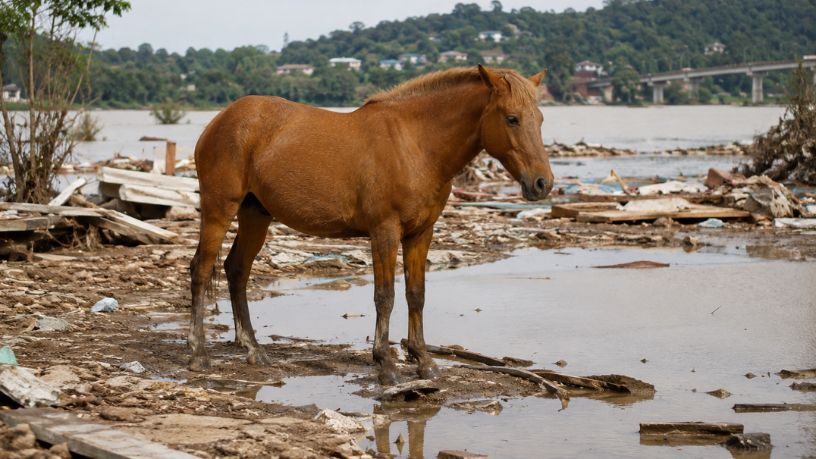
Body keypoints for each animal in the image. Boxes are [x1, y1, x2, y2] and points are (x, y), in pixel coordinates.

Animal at [189, 65, 554, 385]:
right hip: (219, 209)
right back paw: (198, 353)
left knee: (237, 270)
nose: (542, 183)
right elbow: (385, 296)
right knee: (202, 269)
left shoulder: (421, 233)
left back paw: (253, 349)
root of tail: (219, 120)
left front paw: (424, 361)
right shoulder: (384, 231)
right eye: (511, 118)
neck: (415, 144)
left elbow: (416, 294)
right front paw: (386, 364)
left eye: (540, 119)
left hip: (255, 214)